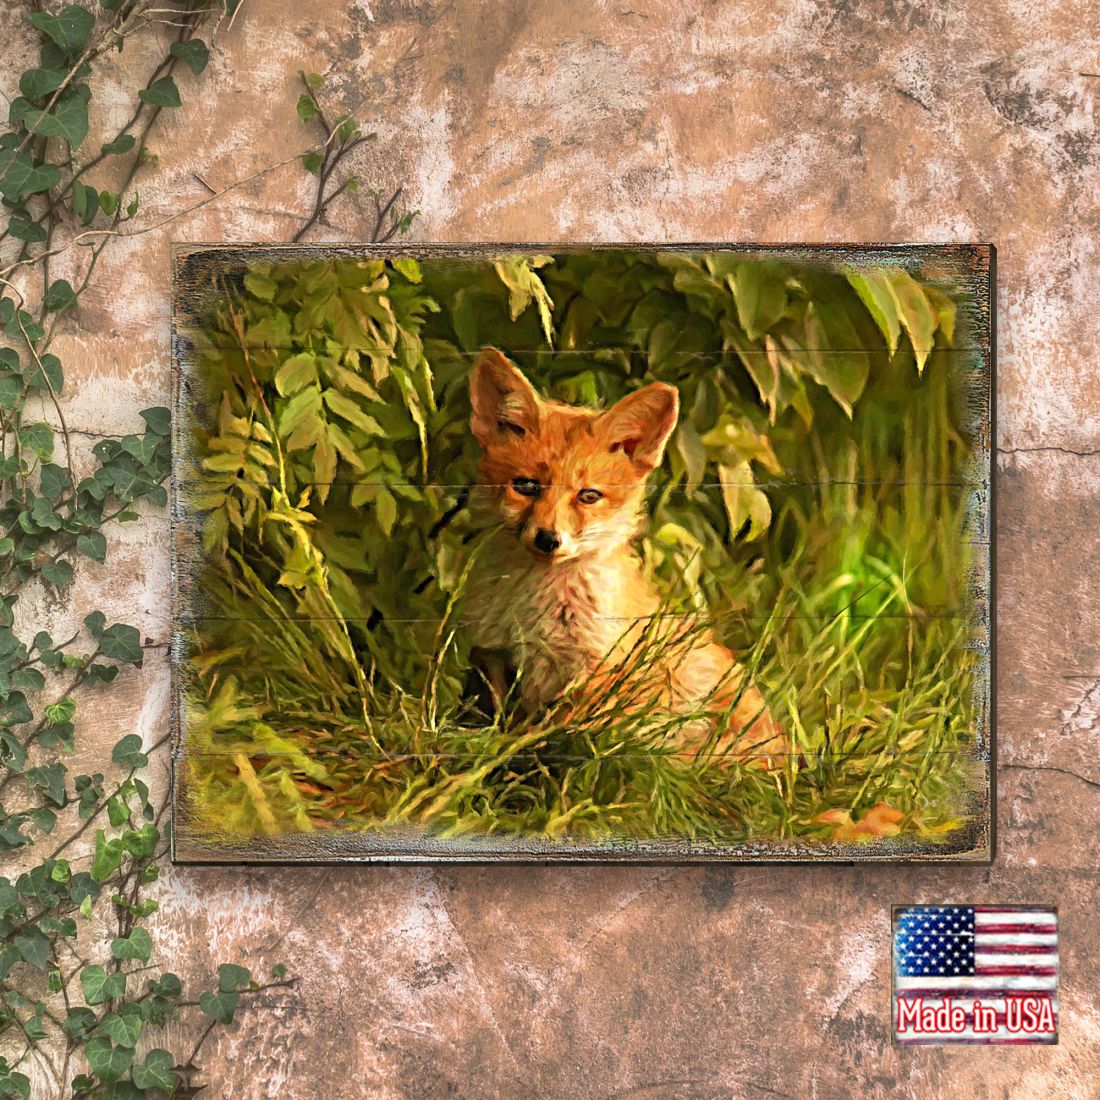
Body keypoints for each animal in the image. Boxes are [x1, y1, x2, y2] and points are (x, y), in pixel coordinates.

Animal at [461, 347, 786, 767]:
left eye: (588, 495)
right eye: (527, 486)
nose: (548, 539)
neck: (534, 608)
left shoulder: (596, 671)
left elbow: (564, 737)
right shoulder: (493, 655)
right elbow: (498, 720)